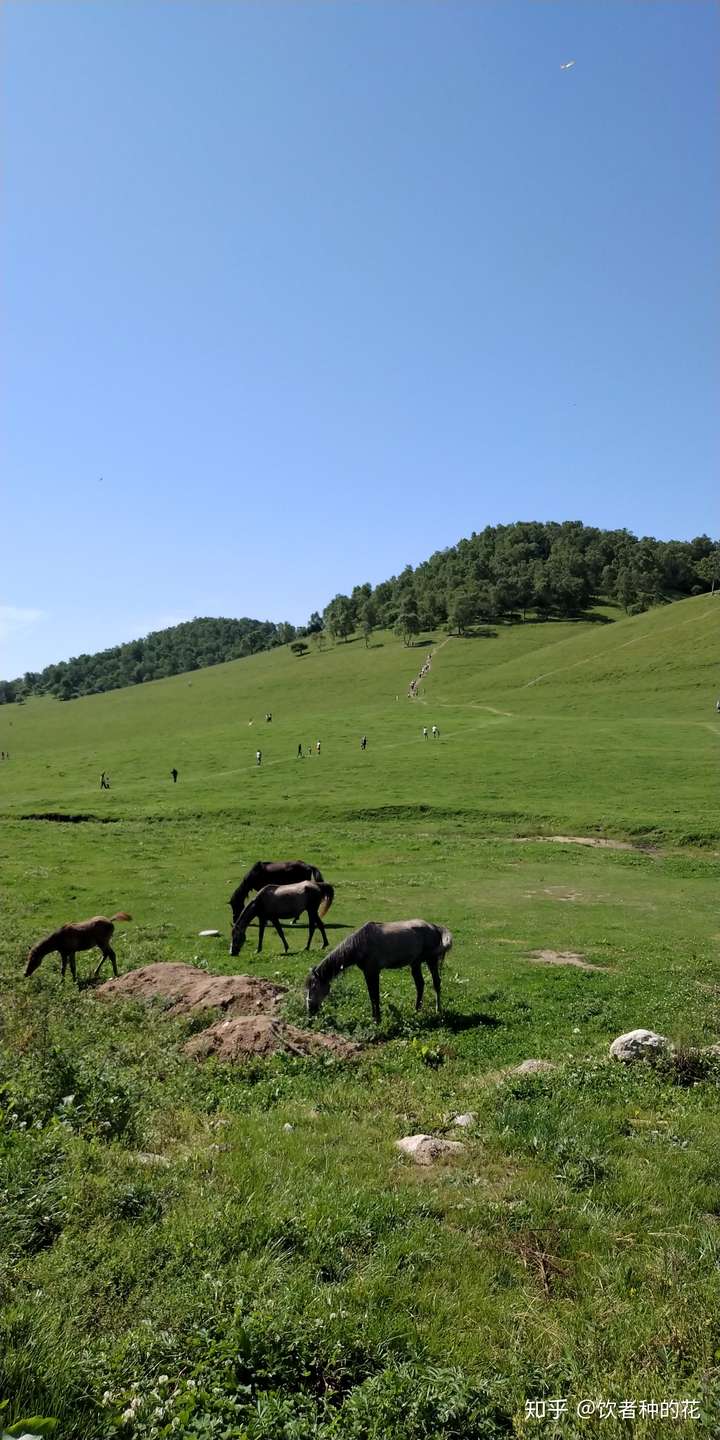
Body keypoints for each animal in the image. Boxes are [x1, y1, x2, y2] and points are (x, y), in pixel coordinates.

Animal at [305, 919, 453, 1023]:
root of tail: (434, 927)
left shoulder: (373, 972)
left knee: (436, 983)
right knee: (420, 985)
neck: (361, 943)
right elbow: (372, 995)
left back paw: (438, 1010)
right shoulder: (367, 973)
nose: (309, 1011)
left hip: (431, 960)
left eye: (314, 987)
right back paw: (416, 1010)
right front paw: (374, 1018)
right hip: (415, 963)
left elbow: (375, 995)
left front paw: (377, 1019)